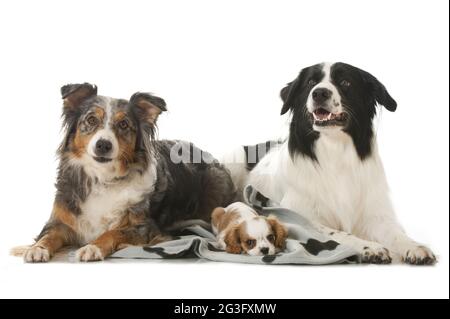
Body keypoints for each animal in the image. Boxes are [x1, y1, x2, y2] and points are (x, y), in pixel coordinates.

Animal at [225, 62, 436, 264]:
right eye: (311, 82)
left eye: (345, 82)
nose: (319, 92)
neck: (334, 149)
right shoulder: (301, 217)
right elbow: (339, 233)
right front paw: (369, 247)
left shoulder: (376, 215)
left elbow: (396, 233)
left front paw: (415, 246)